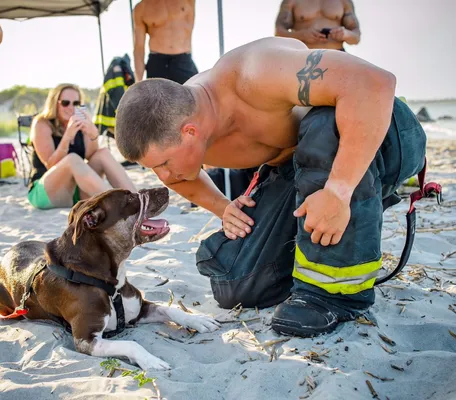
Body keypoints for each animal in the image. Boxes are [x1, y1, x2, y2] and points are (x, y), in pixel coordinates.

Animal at [0, 189, 221, 370]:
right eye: (130, 198)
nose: (165, 188)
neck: (108, 283)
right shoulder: (86, 339)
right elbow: (131, 343)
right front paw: (151, 360)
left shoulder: (138, 309)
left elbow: (170, 309)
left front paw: (197, 319)